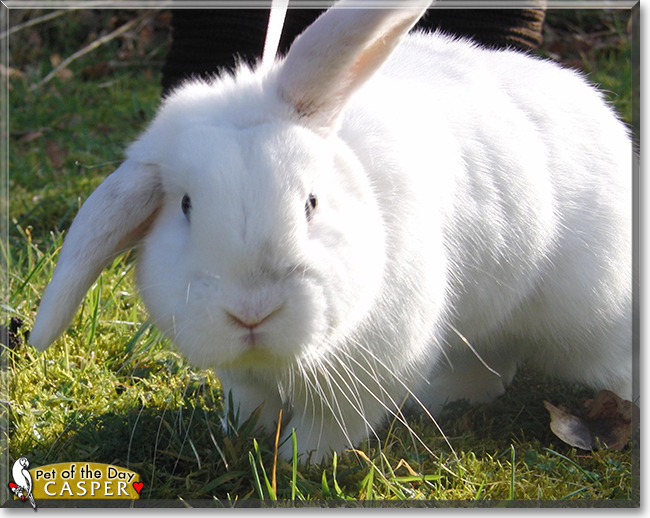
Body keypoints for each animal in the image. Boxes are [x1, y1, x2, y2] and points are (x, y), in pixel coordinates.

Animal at [30, 0, 633, 461]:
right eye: (185, 206)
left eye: (311, 204)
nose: (251, 314)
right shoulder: (243, 377)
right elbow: (251, 406)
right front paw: (242, 440)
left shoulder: (371, 368)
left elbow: (329, 426)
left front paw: (297, 461)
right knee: (489, 363)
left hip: (591, 318)